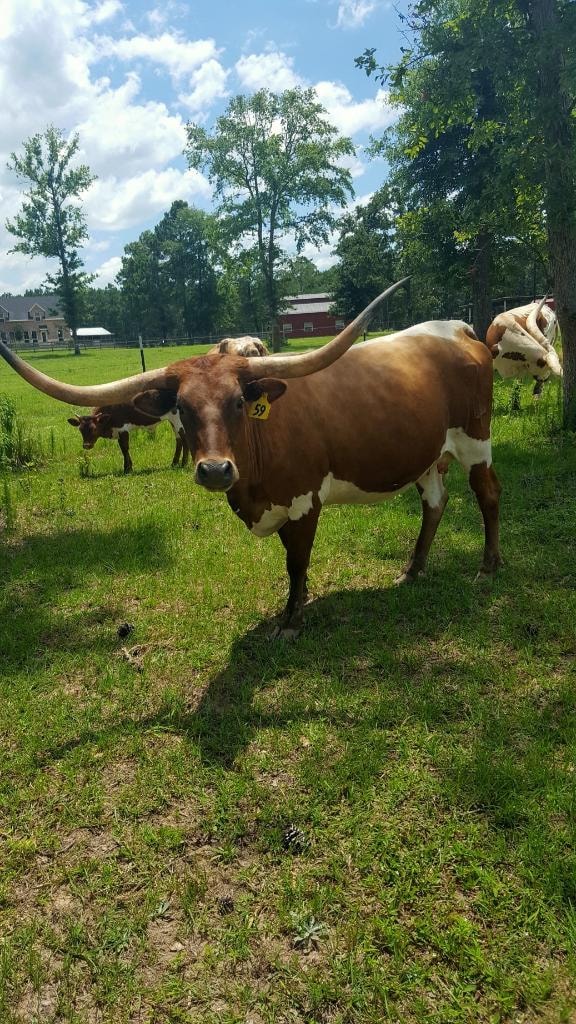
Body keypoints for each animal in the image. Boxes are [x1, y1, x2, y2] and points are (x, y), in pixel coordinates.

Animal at [0, 280, 502, 638]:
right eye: (181, 408)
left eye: (239, 402)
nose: (215, 469)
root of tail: (458, 329)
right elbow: (291, 561)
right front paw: (296, 607)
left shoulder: (303, 501)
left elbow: (297, 561)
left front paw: (292, 621)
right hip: (428, 453)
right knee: (435, 502)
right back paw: (412, 571)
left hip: (475, 440)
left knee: (488, 494)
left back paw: (487, 568)